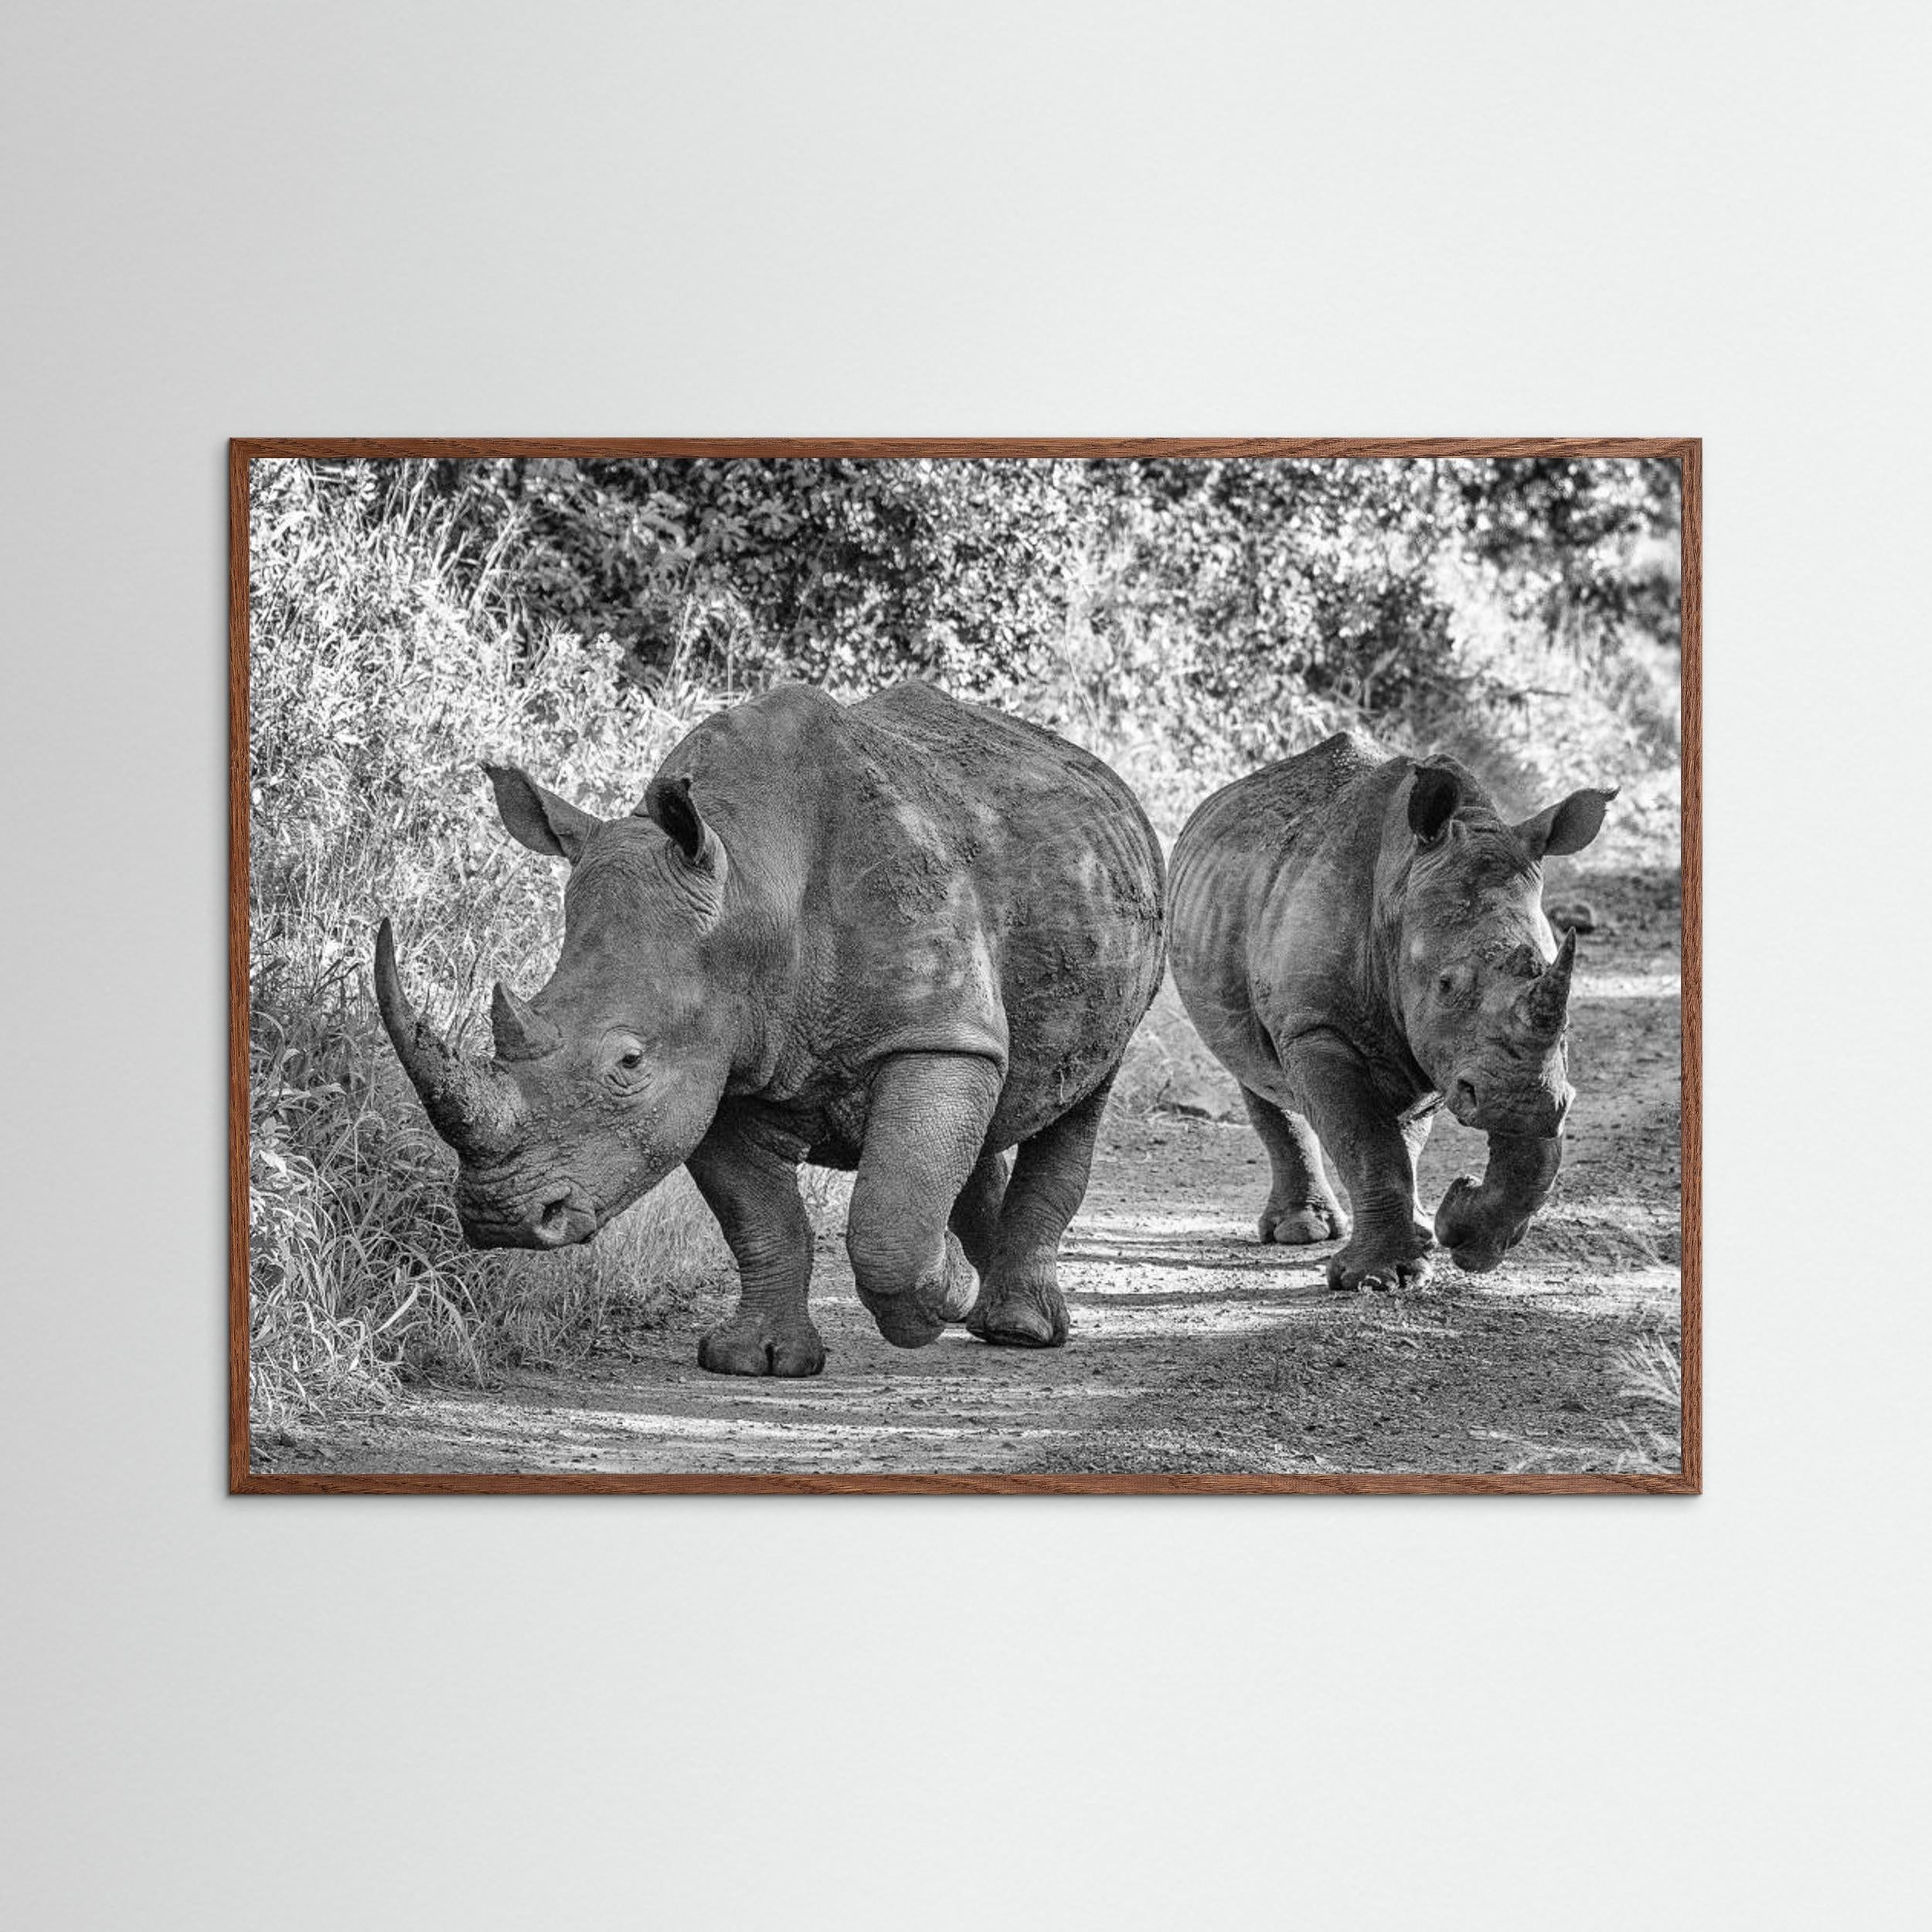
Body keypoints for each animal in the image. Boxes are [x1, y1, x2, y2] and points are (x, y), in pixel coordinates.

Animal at [374, 681, 1165, 1374]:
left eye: (628, 1063)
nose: (499, 1215)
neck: (752, 888)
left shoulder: (930, 1030)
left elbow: (890, 1223)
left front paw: (940, 1295)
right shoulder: (719, 1058)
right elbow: (760, 1220)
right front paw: (758, 1361)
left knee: (1080, 1095)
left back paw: (1017, 1328)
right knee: (999, 1096)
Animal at [1168, 732, 1614, 1291]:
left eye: (1563, 1002)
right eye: (1446, 985)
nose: (1523, 1102)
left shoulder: (1472, 1054)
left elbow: (1524, 1160)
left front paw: (1461, 1231)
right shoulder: (1315, 1026)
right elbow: (1365, 1142)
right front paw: (1379, 1279)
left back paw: (1418, 1227)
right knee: (1254, 1070)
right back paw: (1302, 1232)